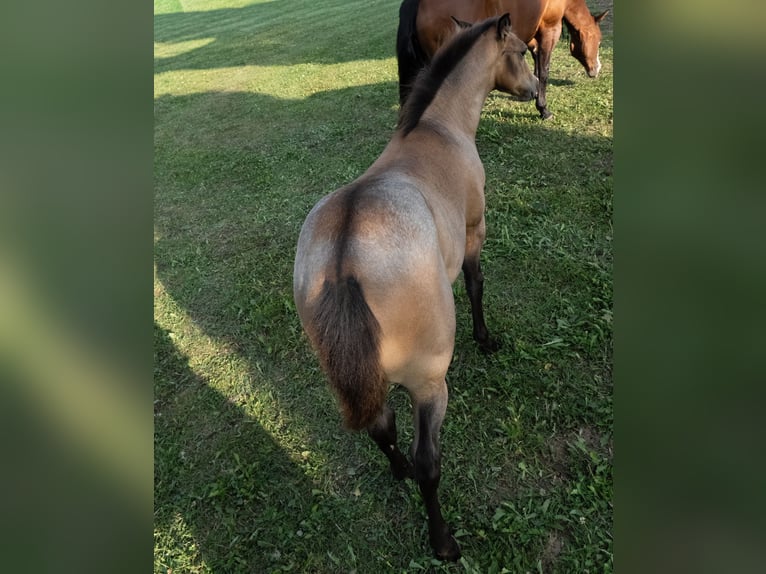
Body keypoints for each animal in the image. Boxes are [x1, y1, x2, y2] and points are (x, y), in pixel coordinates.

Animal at [293, 15, 537, 561]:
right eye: (521, 51)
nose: (537, 90)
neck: (438, 128)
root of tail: (342, 263)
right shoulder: (474, 231)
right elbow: (475, 284)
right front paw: (485, 339)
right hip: (429, 386)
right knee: (428, 461)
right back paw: (442, 539)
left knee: (383, 429)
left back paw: (399, 471)